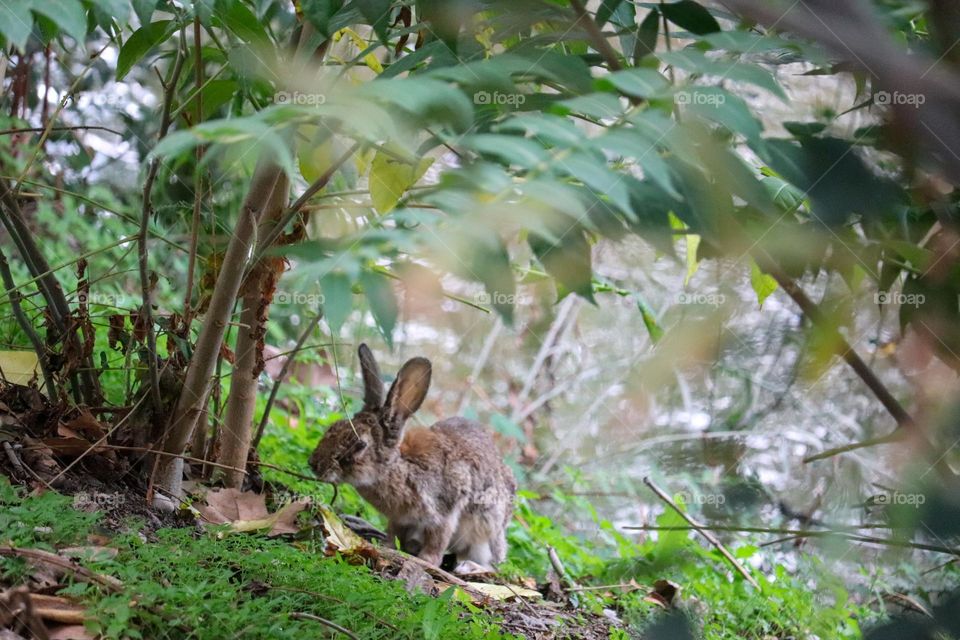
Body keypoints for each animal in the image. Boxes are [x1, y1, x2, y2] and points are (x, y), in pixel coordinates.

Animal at [312, 344, 512, 568]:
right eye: (334, 426)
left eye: (360, 444)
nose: (314, 464)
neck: (398, 467)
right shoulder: (400, 519)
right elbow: (394, 533)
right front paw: (389, 547)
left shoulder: (445, 512)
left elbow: (438, 539)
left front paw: (427, 560)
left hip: (485, 532)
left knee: (489, 562)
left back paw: (467, 567)